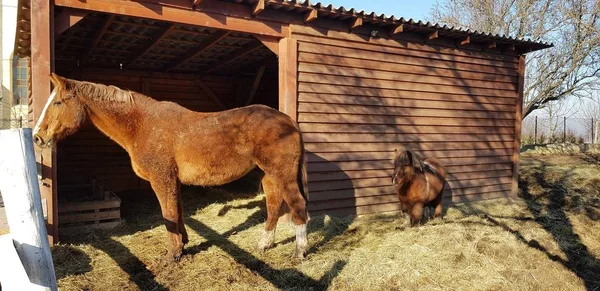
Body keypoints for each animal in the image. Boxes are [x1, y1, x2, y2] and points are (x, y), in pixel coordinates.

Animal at [32, 74, 310, 262]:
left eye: (57, 103)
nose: (37, 137)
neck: (141, 124)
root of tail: (288, 121)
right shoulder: (172, 180)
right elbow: (178, 212)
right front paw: (183, 245)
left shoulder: (161, 179)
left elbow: (168, 214)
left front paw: (172, 254)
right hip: (269, 177)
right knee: (273, 206)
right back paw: (264, 245)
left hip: (282, 175)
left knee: (297, 206)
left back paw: (300, 252)